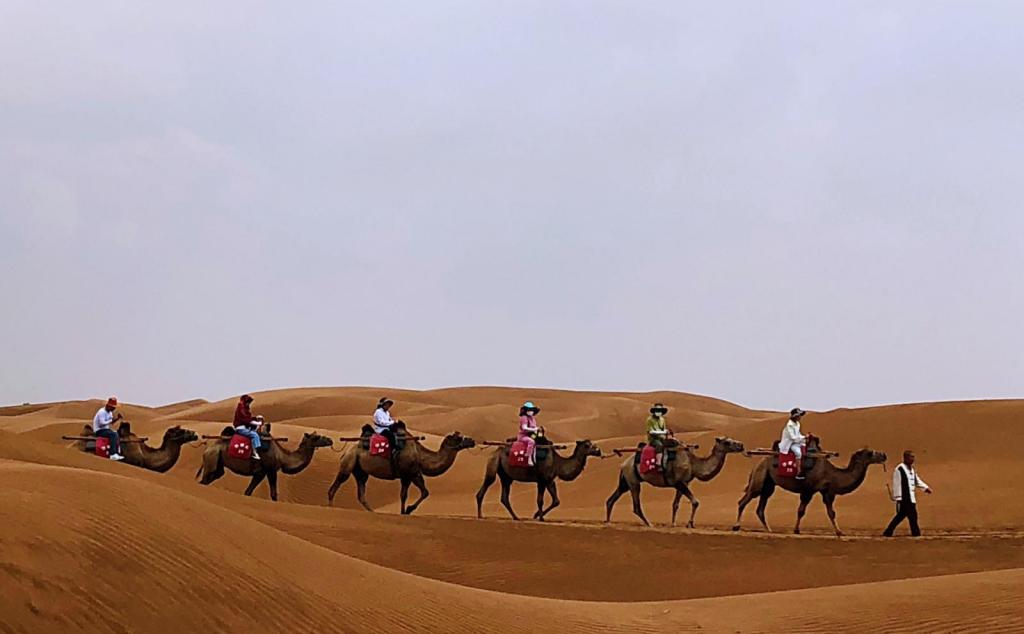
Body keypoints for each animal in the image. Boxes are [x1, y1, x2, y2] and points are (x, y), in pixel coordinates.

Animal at [195, 424, 331, 503]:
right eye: (316, 437)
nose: (330, 440)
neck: (281, 456)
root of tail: (207, 449)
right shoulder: (269, 470)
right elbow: (272, 494)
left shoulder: (262, 473)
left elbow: (249, 492)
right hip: (212, 459)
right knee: (204, 480)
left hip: (218, 464)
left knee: (211, 478)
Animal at [325, 426, 477, 516]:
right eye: (459, 438)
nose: (472, 441)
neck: (420, 456)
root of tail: (345, 452)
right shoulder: (410, 474)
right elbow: (418, 493)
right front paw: (407, 510)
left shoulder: (410, 475)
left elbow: (412, 494)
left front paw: (404, 511)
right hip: (348, 464)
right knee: (335, 485)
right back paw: (331, 508)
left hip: (361, 472)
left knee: (361, 493)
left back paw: (373, 511)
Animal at [602, 438, 749, 528]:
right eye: (727, 442)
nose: (741, 445)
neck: (693, 464)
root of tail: (623, 464)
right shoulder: (678, 482)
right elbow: (695, 502)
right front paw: (690, 523)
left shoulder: (684, 483)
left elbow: (676, 504)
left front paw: (673, 523)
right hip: (633, 481)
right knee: (636, 506)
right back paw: (649, 524)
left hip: (625, 482)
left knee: (611, 499)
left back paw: (608, 522)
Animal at [733, 446, 884, 536]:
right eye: (870, 453)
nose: (884, 455)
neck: (832, 473)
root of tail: (756, 464)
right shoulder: (809, 490)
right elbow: (801, 511)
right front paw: (796, 530)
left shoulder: (826, 492)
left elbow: (831, 512)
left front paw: (839, 531)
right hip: (759, 479)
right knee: (743, 501)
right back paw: (736, 526)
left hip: (769, 484)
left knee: (760, 507)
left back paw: (769, 530)